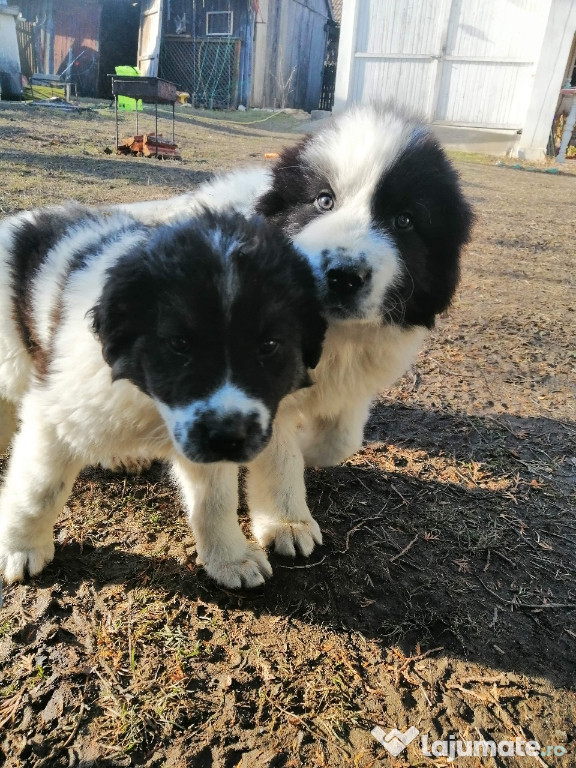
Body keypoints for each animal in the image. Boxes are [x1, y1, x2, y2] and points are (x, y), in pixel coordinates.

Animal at [0, 207, 324, 584]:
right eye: (179, 344)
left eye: (269, 345)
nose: (228, 437)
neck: (150, 401)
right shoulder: (55, 413)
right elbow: (37, 490)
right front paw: (19, 548)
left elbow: (215, 500)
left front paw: (230, 559)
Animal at [113, 103, 472, 568]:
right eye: (323, 200)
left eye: (404, 220)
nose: (343, 276)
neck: (332, 334)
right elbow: (279, 456)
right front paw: (287, 523)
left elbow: (342, 438)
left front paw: (311, 449)